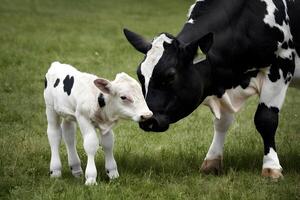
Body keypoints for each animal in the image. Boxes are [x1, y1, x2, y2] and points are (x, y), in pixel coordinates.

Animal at [123, 0, 298, 178]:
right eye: (140, 74)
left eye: (170, 76)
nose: (147, 120)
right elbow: (222, 122)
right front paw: (212, 160)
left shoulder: (281, 66)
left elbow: (266, 119)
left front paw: (271, 167)